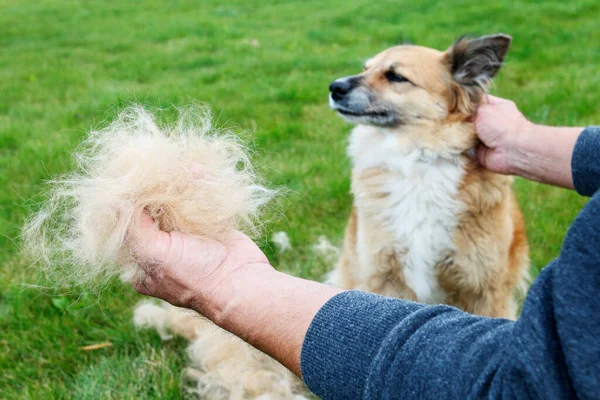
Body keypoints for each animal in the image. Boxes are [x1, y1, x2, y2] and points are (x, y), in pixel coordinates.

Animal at [328, 33, 528, 318]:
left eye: (396, 76)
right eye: (365, 69)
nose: (334, 87)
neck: (416, 158)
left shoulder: (485, 288)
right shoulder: (381, 275)